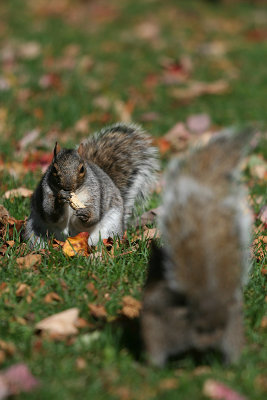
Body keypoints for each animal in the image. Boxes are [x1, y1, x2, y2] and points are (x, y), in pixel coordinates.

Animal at [24, 122, 159, 247]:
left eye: (82, 169)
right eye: (54, 169)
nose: (67, 187)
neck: (75, 193)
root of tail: (65, 241)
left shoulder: (95, 192)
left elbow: (94, 215)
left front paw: (86, 214)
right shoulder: (45, 191)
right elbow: (49, 212)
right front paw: (60, 199)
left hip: (109, 229)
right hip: (34, 231)